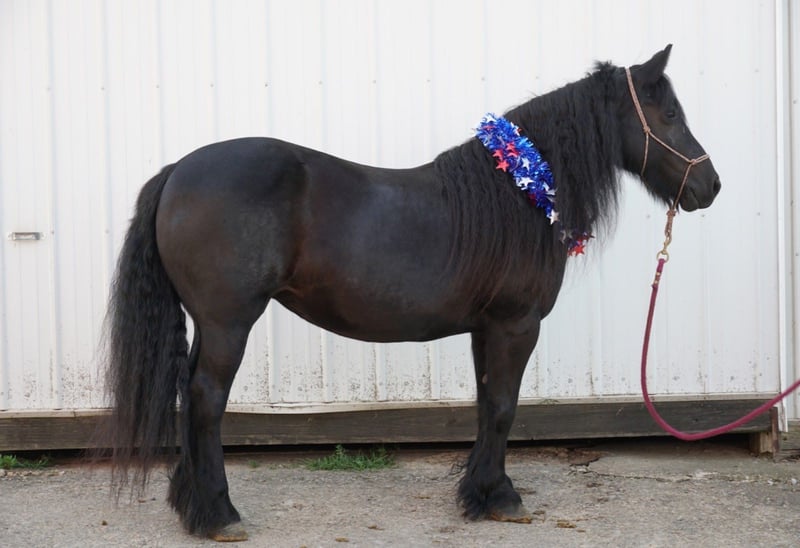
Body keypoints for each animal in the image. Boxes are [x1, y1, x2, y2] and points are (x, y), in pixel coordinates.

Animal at [101, 44, 720, 540]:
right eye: (668, 114)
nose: (710, 186)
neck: (517, 195)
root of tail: (179, 170)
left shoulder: (486, 328)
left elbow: (486, 404)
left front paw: (480, 493)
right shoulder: (516, 325)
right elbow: (504, 406)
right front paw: (502, 498)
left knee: (189, 398)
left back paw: (191, 505)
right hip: (228, 323)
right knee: (206, 400)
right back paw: (219, 514)